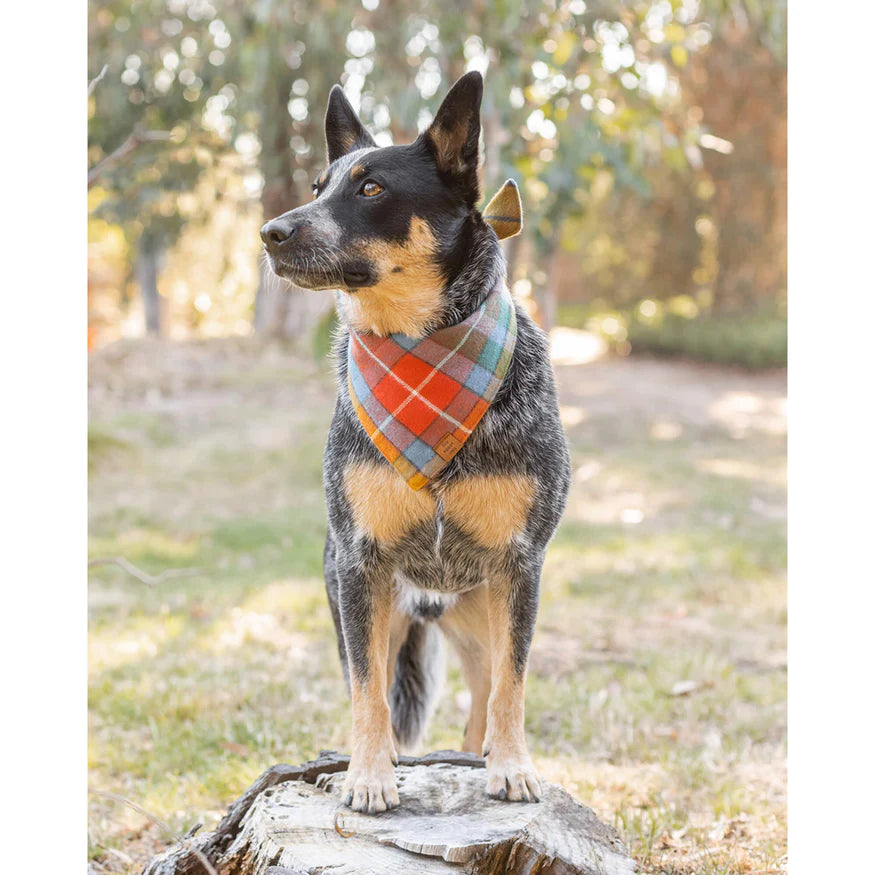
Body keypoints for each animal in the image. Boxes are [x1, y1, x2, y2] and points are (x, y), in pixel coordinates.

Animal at [260, 72, 572, 816]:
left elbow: (513, 684)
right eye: (317, 185)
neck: (418, 354)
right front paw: (370, 775)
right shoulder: (359, 564)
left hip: (479, 610)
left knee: (485, 686)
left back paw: (480, 754)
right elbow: (367, 690)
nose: (271, 231)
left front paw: (512, 766)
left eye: (372, 188)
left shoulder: (521, 564)